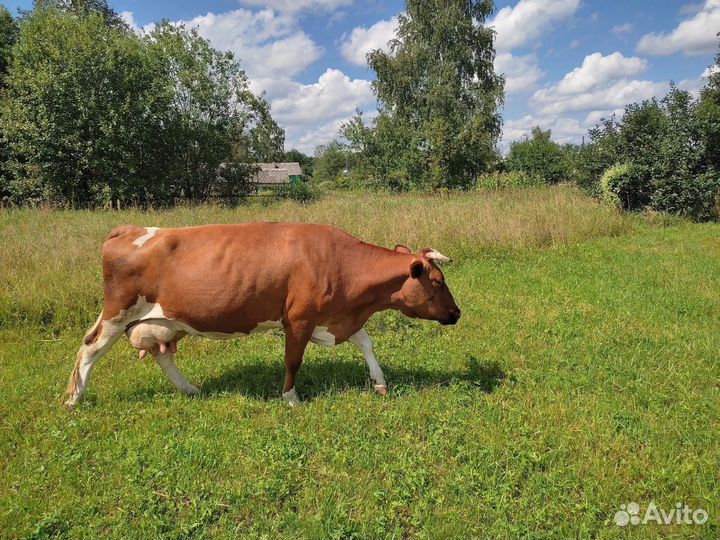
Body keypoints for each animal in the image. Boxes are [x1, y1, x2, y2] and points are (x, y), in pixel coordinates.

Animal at [64, 223, 461, 408]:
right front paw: (291, 398)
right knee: (89, 349)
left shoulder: (334, 318)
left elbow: (366, 343)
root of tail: (130, 229)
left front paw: (380, 383)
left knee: (162, 357)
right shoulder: (298, 319)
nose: (457, 313)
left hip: (164, 321)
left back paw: (191, 389)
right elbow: (293, 361)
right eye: (438, 281)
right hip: (118, 312)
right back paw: (74, 399)